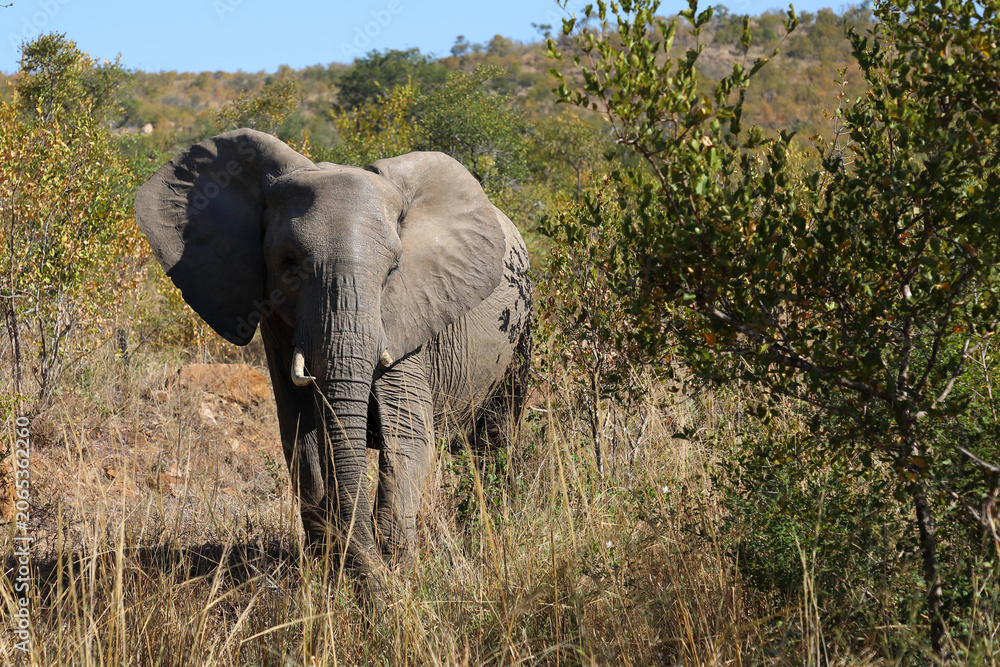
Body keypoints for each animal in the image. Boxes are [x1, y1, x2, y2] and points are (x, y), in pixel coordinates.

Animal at [134, 129, 532, 580]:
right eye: (288, 263)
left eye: (394, 269)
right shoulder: (275, 321)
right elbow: (302, 440)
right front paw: (334, 574)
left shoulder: (410, 316)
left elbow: (407, 437)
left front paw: (396, 575)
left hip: (521, 328)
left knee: (497, 434)